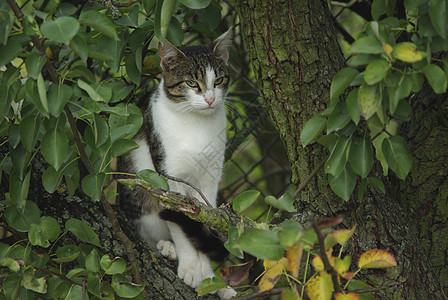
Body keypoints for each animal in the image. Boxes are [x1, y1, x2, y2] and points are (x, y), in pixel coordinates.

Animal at [118, 28, 238, 300]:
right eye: (192, 83)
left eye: (218, 81)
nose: (210, 99)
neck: (196, 125)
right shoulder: (168, 176)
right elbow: (179, 222)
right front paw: (191, 268)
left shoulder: (210, 179)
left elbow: (204, 221)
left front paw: (208, 277)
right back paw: (167, 247)